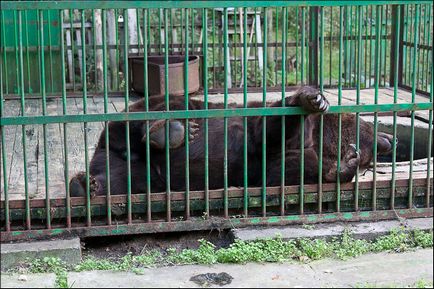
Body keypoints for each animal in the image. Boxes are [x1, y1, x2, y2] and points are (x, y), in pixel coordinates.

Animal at [69, 85, 396, 197]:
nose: (386, 141)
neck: (320, 140)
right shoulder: (259, 128)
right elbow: (271, 129)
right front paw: (312, 97)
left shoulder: (283, 165)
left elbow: (295, 171)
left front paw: (345, 166)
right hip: (159, 108)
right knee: (147, 114)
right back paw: (170, 131)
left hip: (142, 176)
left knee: (120, 179)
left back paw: (88, 185)